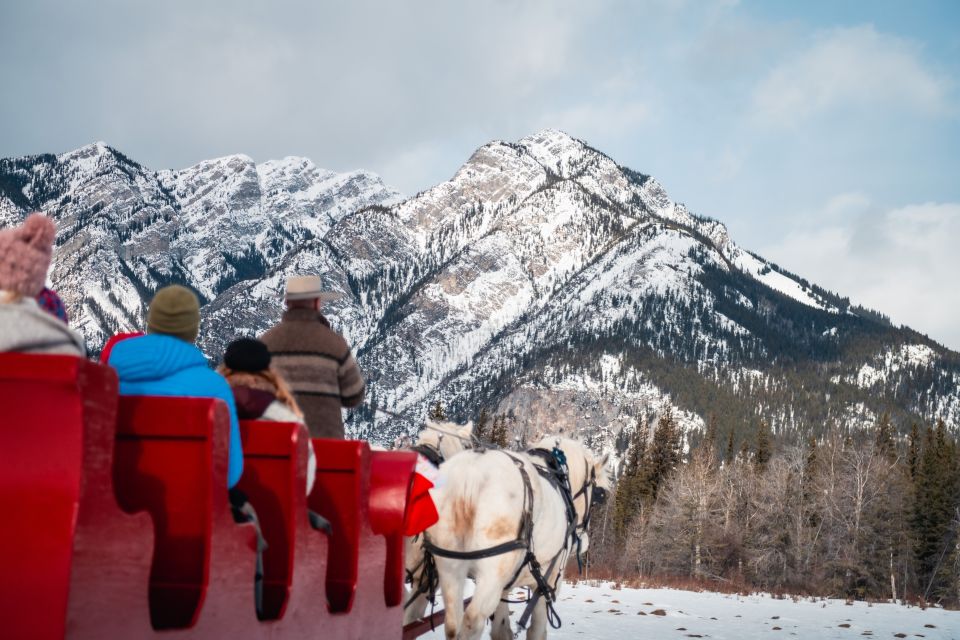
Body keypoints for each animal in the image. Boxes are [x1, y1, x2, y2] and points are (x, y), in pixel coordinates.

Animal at [428, 438, 608, 640]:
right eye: (596, 495)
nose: (584, 542)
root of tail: (472, 473)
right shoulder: (546, 582)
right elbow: (536, 630)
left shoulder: (505, 586)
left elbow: (501, 630)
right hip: (492, 573)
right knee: (472, 621)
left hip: (449, 566)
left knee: (452, 625)